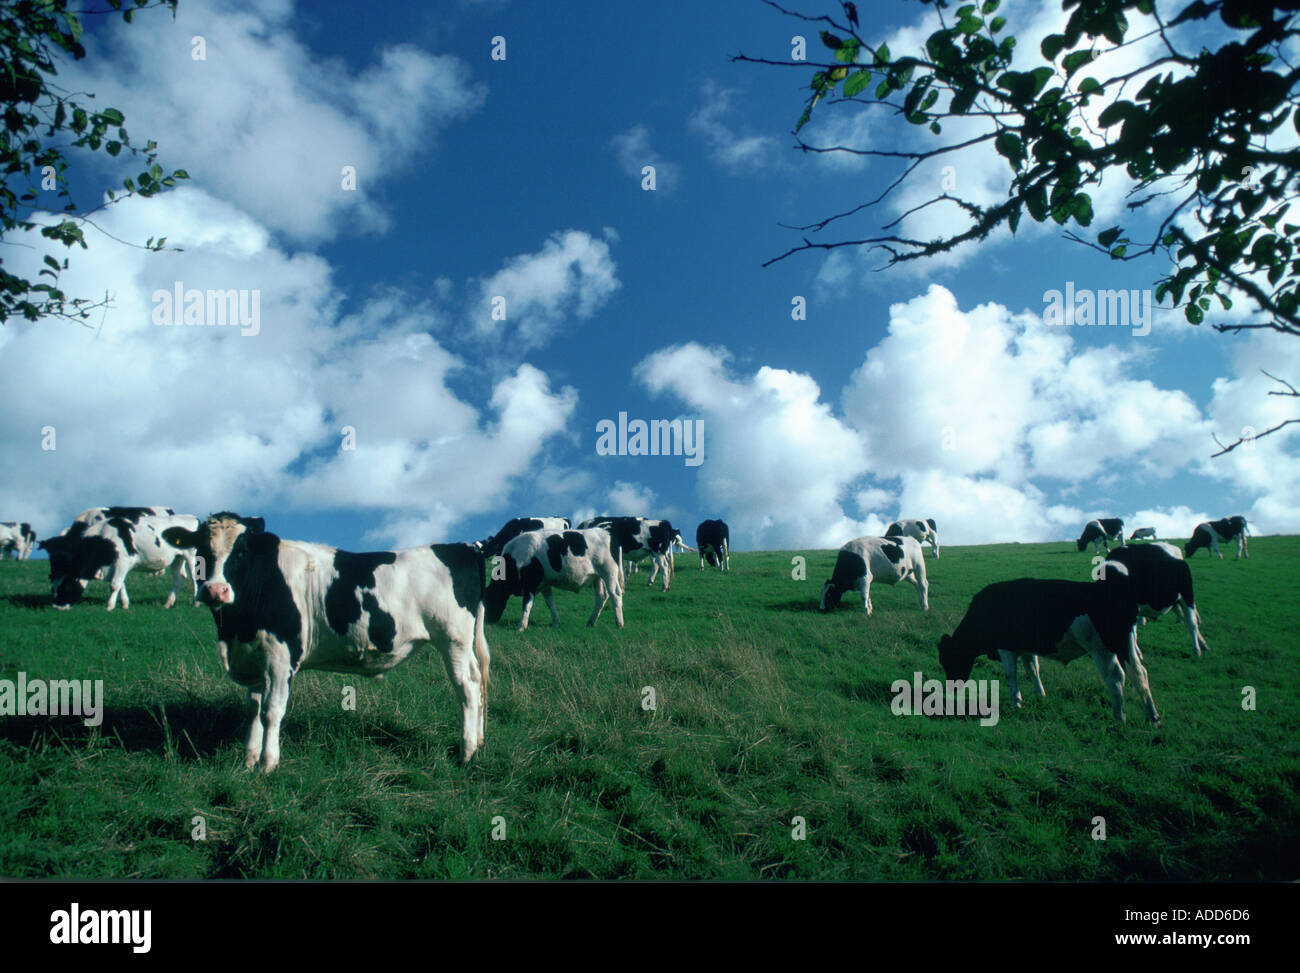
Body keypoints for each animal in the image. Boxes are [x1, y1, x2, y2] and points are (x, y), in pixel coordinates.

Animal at [36, 509, 197, 608]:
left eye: (65, 587)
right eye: (54, 589)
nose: (56, 606)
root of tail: (191, 517)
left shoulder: (124, 561)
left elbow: (114, 584)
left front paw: (109, 606)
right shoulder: (116, 566)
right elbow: (120, 584)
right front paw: (125, 604)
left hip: (191, 555)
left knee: (195, 578)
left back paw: (195, 602)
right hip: (177, 558)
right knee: (179, 577)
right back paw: (168, 603)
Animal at [162, 512, 488, 770]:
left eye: (241, 551)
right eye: (201, 549)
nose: (215, 591)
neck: (236, 628)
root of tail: (463, 548)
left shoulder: (280, 657)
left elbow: (271, 711)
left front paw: (268, 765)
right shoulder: (253, 657)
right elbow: (253, 710)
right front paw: (248, 760)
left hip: (453, 638)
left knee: (467, 688)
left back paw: (467, 751)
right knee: (479, 681)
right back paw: (479, 743)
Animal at [483, 525, 624, 632]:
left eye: (488, 600)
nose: (488, 621)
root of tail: (606, 531)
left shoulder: (530, 583)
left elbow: (527, 605)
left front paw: (521, 626)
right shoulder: (544, 584)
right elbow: (550, 603)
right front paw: (556, 622)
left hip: (609, 572)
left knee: (615, 594)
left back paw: (619, 623)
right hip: (597, 577)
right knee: (601, 596)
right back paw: (591, 622)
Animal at [935, 574, 1159, 728]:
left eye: (948, 659)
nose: (952, 686)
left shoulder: (1005, 649)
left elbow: (1011, 675)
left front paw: (1016, 702)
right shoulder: (1026, 649)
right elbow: (1033, 670)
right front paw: (1039, 696)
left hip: (1102, 649)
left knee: (1116, 678)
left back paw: (1119, 718)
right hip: (1126, 648)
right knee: (1140, 674)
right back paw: (1153, 717)